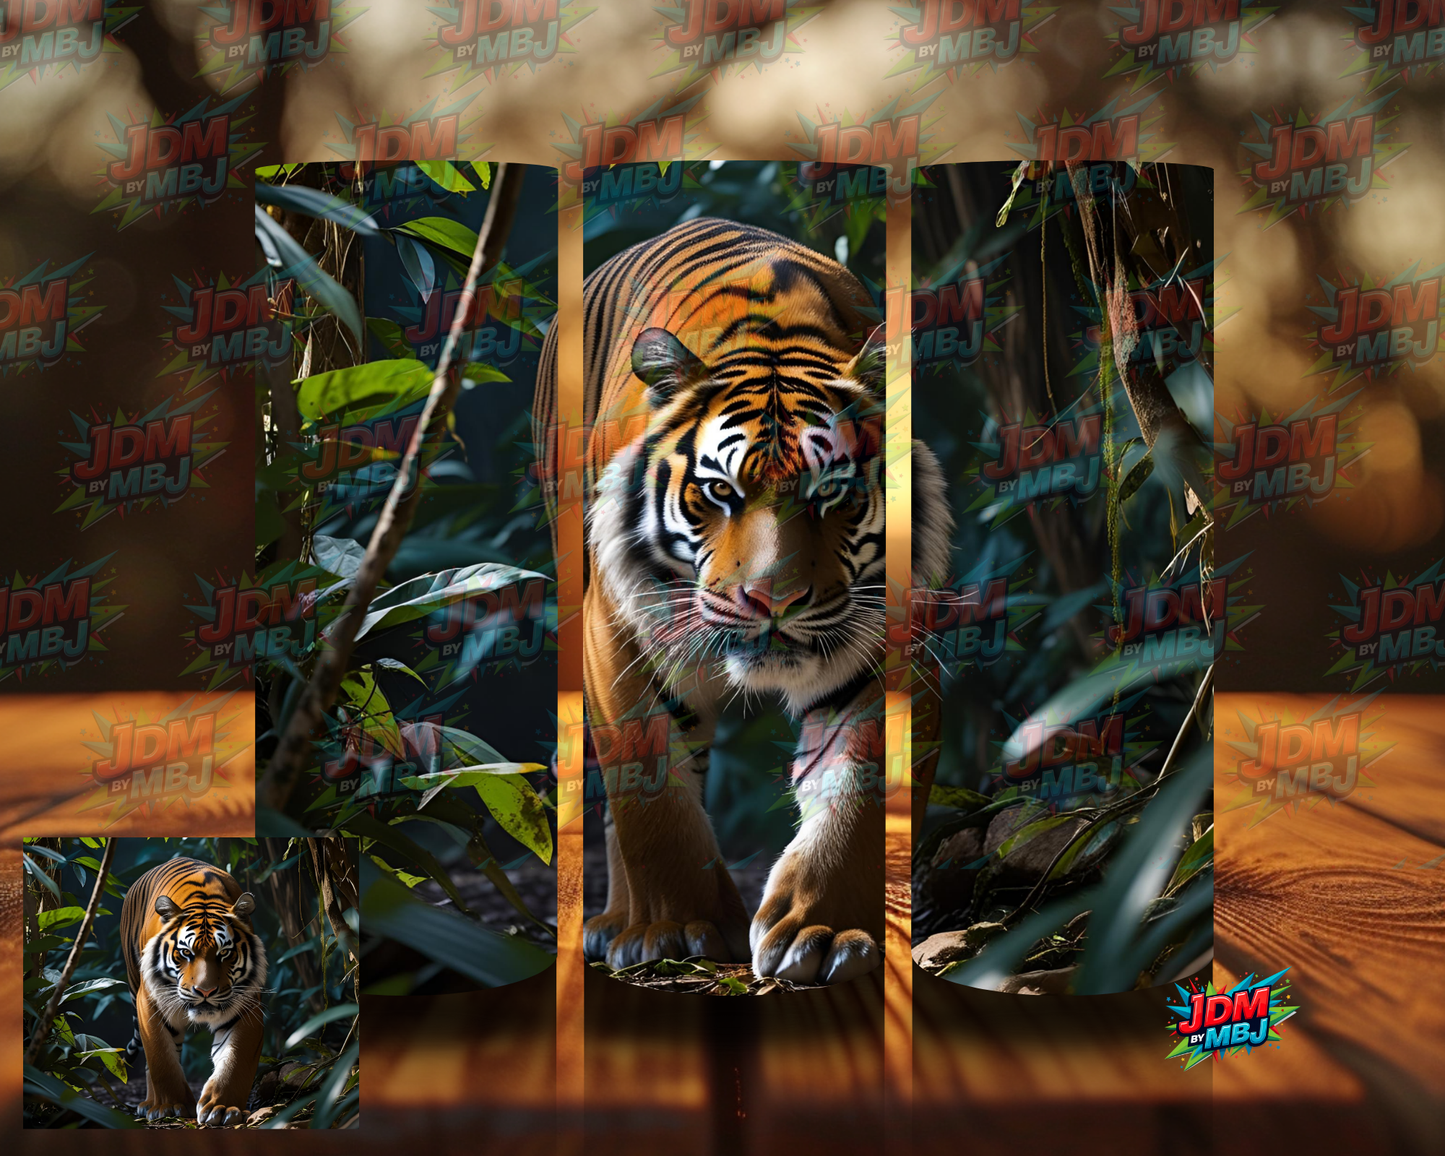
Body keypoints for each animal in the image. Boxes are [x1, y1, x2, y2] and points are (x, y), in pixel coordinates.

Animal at [120, 855, 267, 1127]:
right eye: (185, 952)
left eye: (224, 953)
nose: (205, 991)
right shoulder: (151, 1001)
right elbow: (161, 1058)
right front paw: (170, 1107)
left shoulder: (247, 1006)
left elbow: (235, 1060)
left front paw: (222, 1108)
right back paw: (149, 1104)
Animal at [536, 215, 952, 984]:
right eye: (720, 491)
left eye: (830, 492)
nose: (772, 599)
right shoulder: (616, 636)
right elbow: (650, 796)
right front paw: (678, 928)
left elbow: (857, 792)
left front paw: (821, 929)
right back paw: (620, 922)